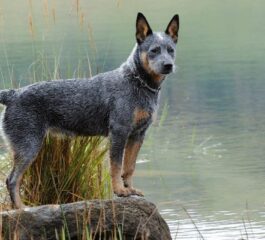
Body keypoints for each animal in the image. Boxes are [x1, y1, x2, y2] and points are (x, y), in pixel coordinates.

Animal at [0, 12, 178, 208]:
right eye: (154, 50)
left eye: (170, 50)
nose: (168, 65)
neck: (137, 82)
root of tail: (13, 94)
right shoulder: (119, 132)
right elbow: (116, 166)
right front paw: (120, 190)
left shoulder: (138, 135)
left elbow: (129, 167)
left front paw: (130, 189)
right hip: (28, 146)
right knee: (12, 180)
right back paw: (22, 208)